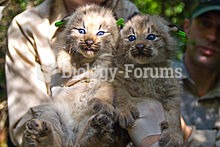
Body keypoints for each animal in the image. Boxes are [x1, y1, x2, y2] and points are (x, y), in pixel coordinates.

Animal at [113, 14, 184, 146]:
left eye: (151, 36)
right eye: (131, 38)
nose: (139, 46)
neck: (146, 67)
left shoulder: (172, 93)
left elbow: (174, 115)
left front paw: (174, 135)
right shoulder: (119, 82)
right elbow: (121, 94)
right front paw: (125, 111)